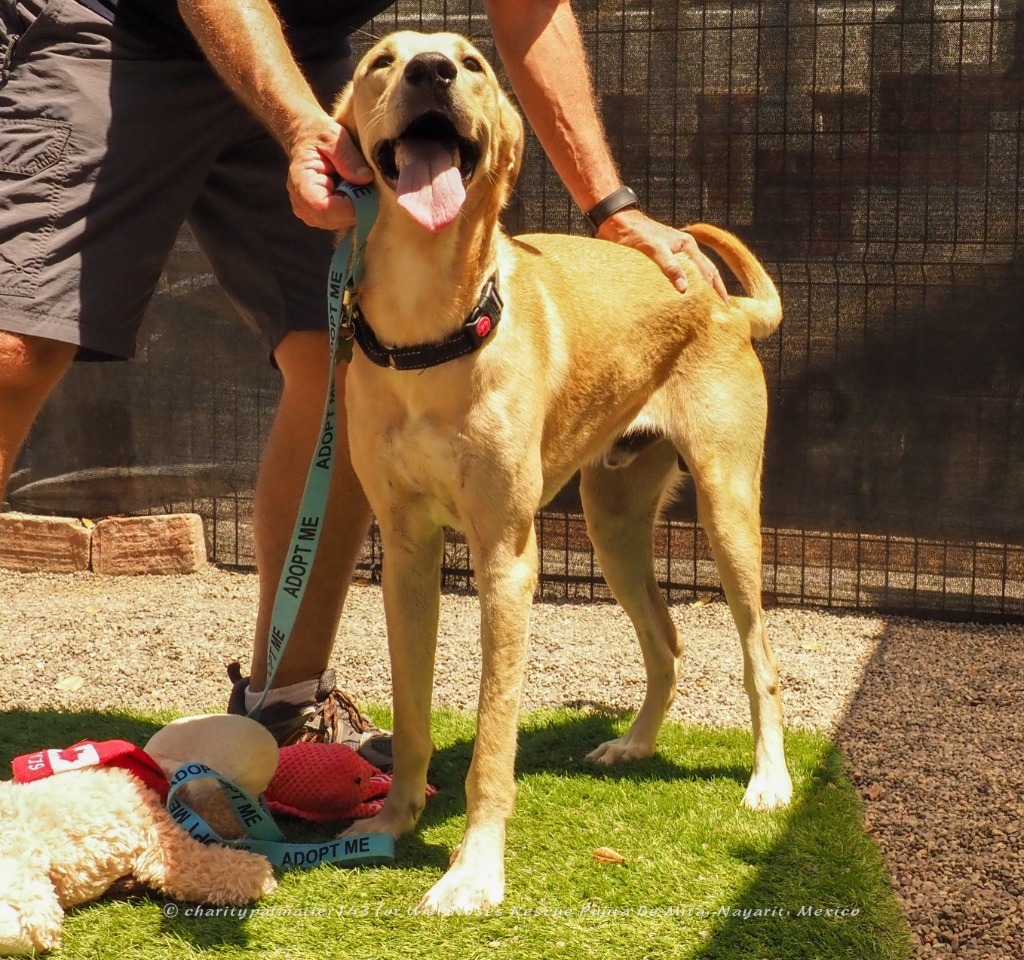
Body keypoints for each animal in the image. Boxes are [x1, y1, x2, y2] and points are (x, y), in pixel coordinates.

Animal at [335, 31, 790, 912]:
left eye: (473, 61)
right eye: (382, 60)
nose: (432, 71)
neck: (429, 332)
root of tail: (722, 304)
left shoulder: (507, 557)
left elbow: (491, 741)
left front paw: (474, 871)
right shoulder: (405, 555)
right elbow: (411, 719)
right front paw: (390, 823)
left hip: (728, 513)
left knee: (761, 659)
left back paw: (770, 780)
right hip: (613, 522)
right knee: (667, 642)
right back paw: (634, 745)